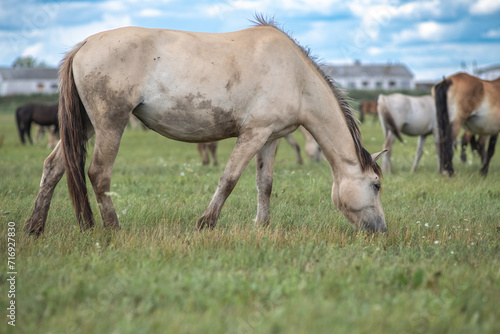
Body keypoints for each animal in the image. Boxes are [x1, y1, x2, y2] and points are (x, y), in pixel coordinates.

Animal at [23, 15, 386, 236]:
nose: (381, 229)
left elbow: (264, 183)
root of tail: (83, 45)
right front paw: (206, 222)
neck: (296, 77)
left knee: (53, 167)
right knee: (98, 173)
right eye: (377, 185)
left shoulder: (270, 137)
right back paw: (113, 229)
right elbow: (229, 179)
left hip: (86, 125)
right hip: (110, 124)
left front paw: (262, 225)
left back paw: (35, 227)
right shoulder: (253, 134)